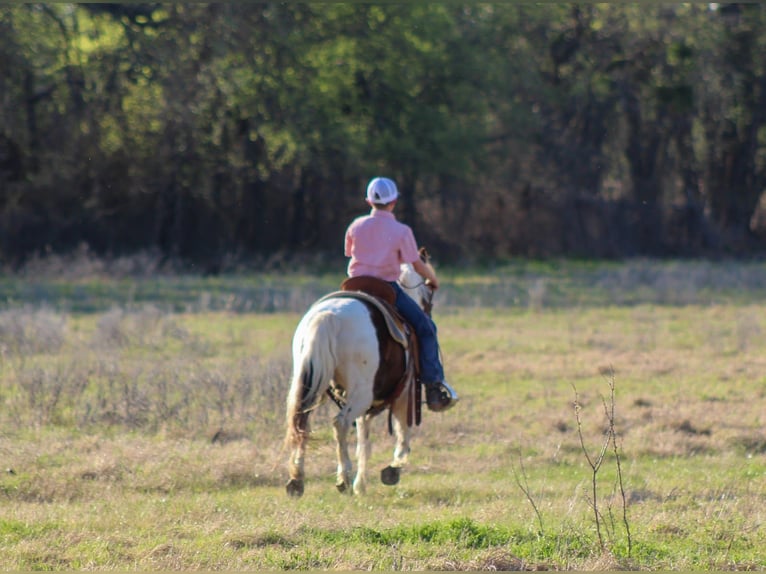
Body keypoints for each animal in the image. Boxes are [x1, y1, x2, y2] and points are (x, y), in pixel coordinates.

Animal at [284, 254, 436, 497]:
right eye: (428, 298)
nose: (427, 312)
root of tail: (328, 316)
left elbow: (363, 439)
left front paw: (361, 484)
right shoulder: (404, 392)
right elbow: (402, 433)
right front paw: (392, 470)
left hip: (309, 384)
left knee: (301, 423)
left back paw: (297, 480)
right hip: (362, 394)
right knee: (340, 423)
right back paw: (343, 478)